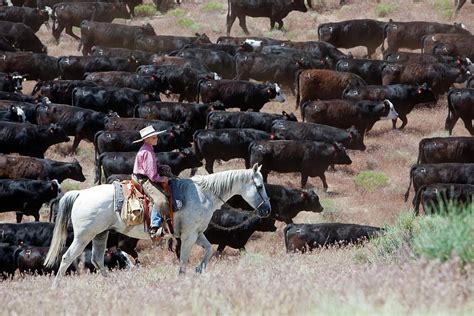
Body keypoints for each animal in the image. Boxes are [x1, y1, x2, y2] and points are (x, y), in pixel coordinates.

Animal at [45, 164, 272, 288]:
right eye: (259, 186)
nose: (267, 210)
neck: (202, 194)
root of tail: (80, 194)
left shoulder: (197, 233)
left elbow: (208, 250)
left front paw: (199, 269)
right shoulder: (189, 236)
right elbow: (184, 259)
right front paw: (183, 278)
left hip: (100, 234)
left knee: (98, 260)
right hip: (83, 236)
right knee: (67, 258)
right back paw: (56, 287)